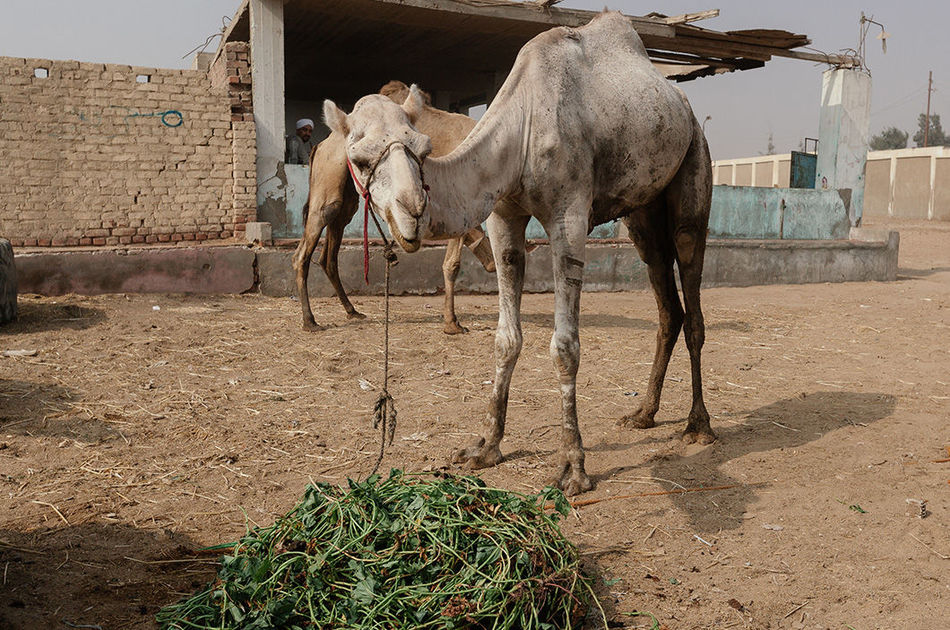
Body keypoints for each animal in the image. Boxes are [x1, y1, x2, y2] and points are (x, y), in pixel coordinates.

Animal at [294, 82, 494, 336]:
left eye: (425, 152)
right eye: (360, 160)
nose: (491, 265)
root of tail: (320, 144)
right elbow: (453, 264)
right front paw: (452, 323)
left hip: (346, 199)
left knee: (329, 253)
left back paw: (352, 310)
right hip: (327, 188)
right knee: (303, 251)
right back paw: (309, 320)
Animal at [326, 8, 712, 494]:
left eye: (422, 148)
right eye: (359, 160)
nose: (412, 209)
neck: (523, 127)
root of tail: (681, 103)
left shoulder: (569, 215)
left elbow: (565, 347)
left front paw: (573, 467)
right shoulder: (503, 217)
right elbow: (505, 339)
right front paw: (485, 447)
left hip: (694, 161)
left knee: (691, 290)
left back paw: (699, 425)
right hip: (642, 210)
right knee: (666, 303)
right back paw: (643, 414)